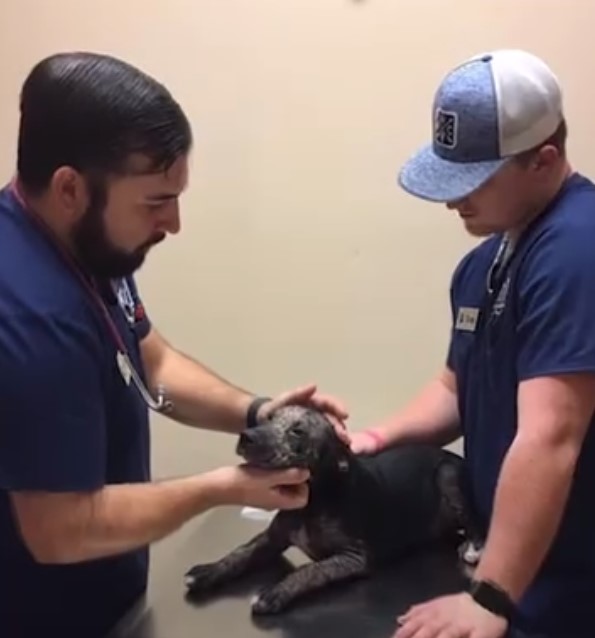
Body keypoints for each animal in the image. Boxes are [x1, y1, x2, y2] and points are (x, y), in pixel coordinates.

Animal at [183, 408, 484, 616]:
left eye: (298, 431)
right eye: (268, 418)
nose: (247, 436)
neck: (314, 501)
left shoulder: (354, 558)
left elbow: (311, 570)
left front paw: (274, 593)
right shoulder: (272, 538)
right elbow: (240, 553)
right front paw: (208, 571)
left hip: (448, 474)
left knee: (475, 523)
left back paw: (472, 547)